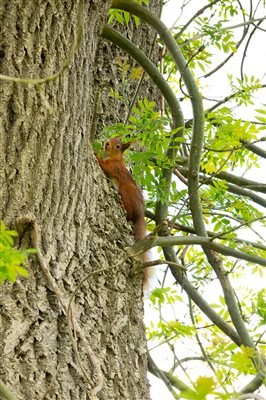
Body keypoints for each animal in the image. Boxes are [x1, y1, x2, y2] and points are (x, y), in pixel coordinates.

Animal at [94, 138, 151, 288]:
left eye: (118, 146)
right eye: (111, 138)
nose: (106, 143)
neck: (113, 157)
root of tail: (140, 214)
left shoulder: (114, 167)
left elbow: (104, 165)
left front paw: (93, 152)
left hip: (126, 190)